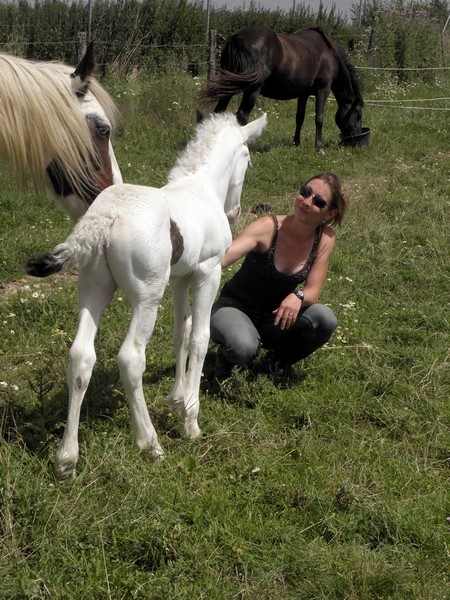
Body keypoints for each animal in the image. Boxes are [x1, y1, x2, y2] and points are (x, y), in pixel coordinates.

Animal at [25, 112, 268, 478]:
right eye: (248, 158)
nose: (235, 212)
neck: (202, 187)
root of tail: (107, 216)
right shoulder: (208, 272)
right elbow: (199, 337)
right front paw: (190, 419)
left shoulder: (180, 279)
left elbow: (181, 332)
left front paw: (175, 400)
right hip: (147, 296)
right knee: (130, 358)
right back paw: (150, 443)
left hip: (94, 288)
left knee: (81, 355)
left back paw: (67, 458)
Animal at [200, 26, 366, 152]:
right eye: (358, 115)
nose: (356, 140)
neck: (329, 54)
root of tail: (237, 38)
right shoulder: (323, 89)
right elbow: (319, 118)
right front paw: (319, 148)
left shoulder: (303, 94)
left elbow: (300, 117)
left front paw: (296, 143)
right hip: (252, 89)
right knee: (242, 116)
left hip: (229, 85)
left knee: (219, 111)